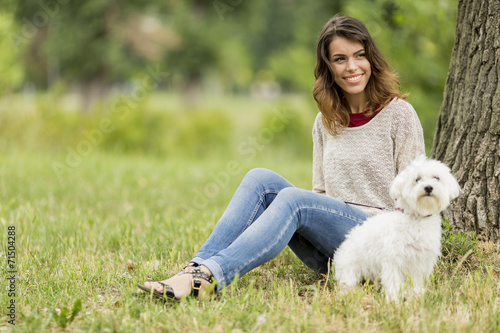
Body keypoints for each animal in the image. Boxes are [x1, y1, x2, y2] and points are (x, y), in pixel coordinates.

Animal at [334, 156, 458, 300]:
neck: (417, 217)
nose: (428, 187)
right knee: (347, 282)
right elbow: (393, 282)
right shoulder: (394, 259)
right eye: (417, 179)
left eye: (436, 177)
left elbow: (415, 281)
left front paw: (416, 296)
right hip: (350, 269)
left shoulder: (419, 262)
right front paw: (393, 300)